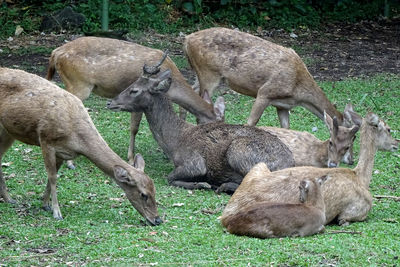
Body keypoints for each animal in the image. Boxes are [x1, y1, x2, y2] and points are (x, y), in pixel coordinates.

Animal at [0, 67, 162, 226]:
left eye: (155, 190)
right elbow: (52, 178)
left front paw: (45, 204)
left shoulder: (61, 152)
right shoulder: (46, 140)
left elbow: (51, 178)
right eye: (143, 194)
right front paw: (57, 212)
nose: (157, 219)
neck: (76, 139)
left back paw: (9, 199)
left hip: (8, 133)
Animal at [48, 36, 220, 169]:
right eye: (216, 123)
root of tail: (56, 53)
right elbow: (134, 128)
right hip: (79, 84)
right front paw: (131, 159)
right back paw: (69, 162)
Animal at [108, 56, 296, 195]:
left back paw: (223, 185)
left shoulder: (194, 163)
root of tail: (289, 164)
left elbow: (170, 177)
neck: (174, 142)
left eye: (134, 90)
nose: (111, 103)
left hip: (239, 150)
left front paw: (201, 184)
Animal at [220, 111, 398, 226]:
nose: (397, 142)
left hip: (259, 167)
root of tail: (227, 213)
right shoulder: (357, 210)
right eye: (388, 128)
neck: (360, 177)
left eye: (348, 146)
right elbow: (344, 219)